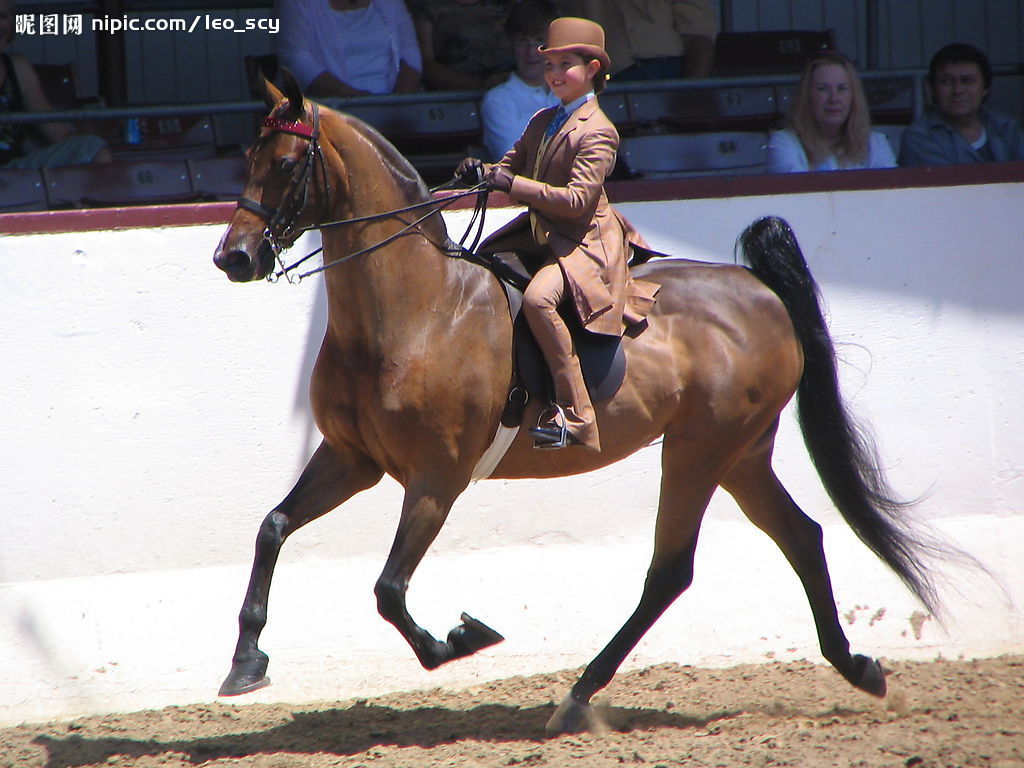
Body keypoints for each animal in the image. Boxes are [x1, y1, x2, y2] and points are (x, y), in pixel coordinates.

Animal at [211, 75, 946, 737]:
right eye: (247, 159)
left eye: (284, 164)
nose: (234, 258)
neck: (414, 311)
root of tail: (758, 289)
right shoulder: (351, 458)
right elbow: (273, 528)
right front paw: (246, 663)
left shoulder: (437, 478)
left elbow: (389, 590)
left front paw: (462, 638)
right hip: (741, 454)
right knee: (800, 536)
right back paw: (856, 668)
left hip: (700, 450)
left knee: (671, 571)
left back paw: (578, 696)